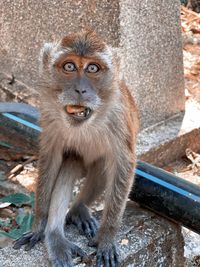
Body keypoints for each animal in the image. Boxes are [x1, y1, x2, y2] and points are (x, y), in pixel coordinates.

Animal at [13, 29, 139, 267]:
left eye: (93, 68)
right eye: (70, 66)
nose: (80, 89)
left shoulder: (118, 114)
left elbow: (122, 165)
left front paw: (107, 238)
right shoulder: (48, 109)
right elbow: (51, 157)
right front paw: (39, 224)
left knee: (103, 165)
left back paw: (78, 210)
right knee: (70, 162)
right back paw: (55, 235)